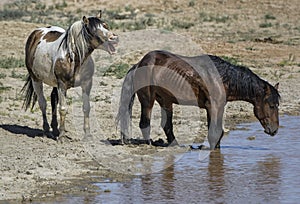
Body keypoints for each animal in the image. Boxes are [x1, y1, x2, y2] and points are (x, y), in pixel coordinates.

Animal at [21, 10, 118, 140]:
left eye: (105, 25)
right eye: (93, 30)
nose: (114, 38)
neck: (74, 58)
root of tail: (36, 33)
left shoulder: (87, 84)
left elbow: (86, 107)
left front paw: (88, 135)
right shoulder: (62, 85)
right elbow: (63, 109)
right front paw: (62, 136)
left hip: (54, 84)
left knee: (53, 99)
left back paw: (55, 129)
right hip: (36, 79)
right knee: (42, 103)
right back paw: (46, 131)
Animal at [116, 50, 280, 149]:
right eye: (272, 105)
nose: (275, 130)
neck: (221, 78)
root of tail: (139, 64)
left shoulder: (217, 107)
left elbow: (217, 133)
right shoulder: (213, 107)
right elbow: (214, 133)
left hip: (165, 101)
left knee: (167, 125)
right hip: (148, 100)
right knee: (145, 123)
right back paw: (149, 144)